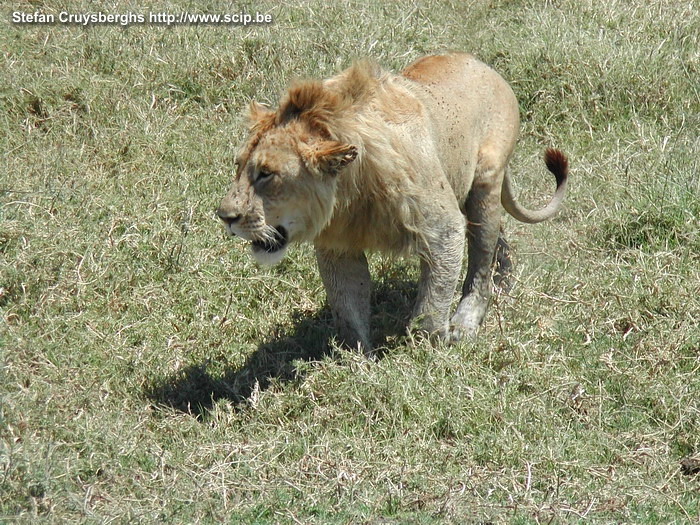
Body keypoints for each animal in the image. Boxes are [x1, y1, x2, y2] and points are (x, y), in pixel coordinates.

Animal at [217, 53, 568, 354]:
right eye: (238, 166)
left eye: (267, 173)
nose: (224, 216)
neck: (348, 192)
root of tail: (484, 66)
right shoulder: (337, 244)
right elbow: (349, 307)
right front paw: (356, 361)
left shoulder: (442, 228)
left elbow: (432, 304)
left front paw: (420, 355)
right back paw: (504, 281)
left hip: (485, 181)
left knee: (480, 261)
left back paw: (465, 324)